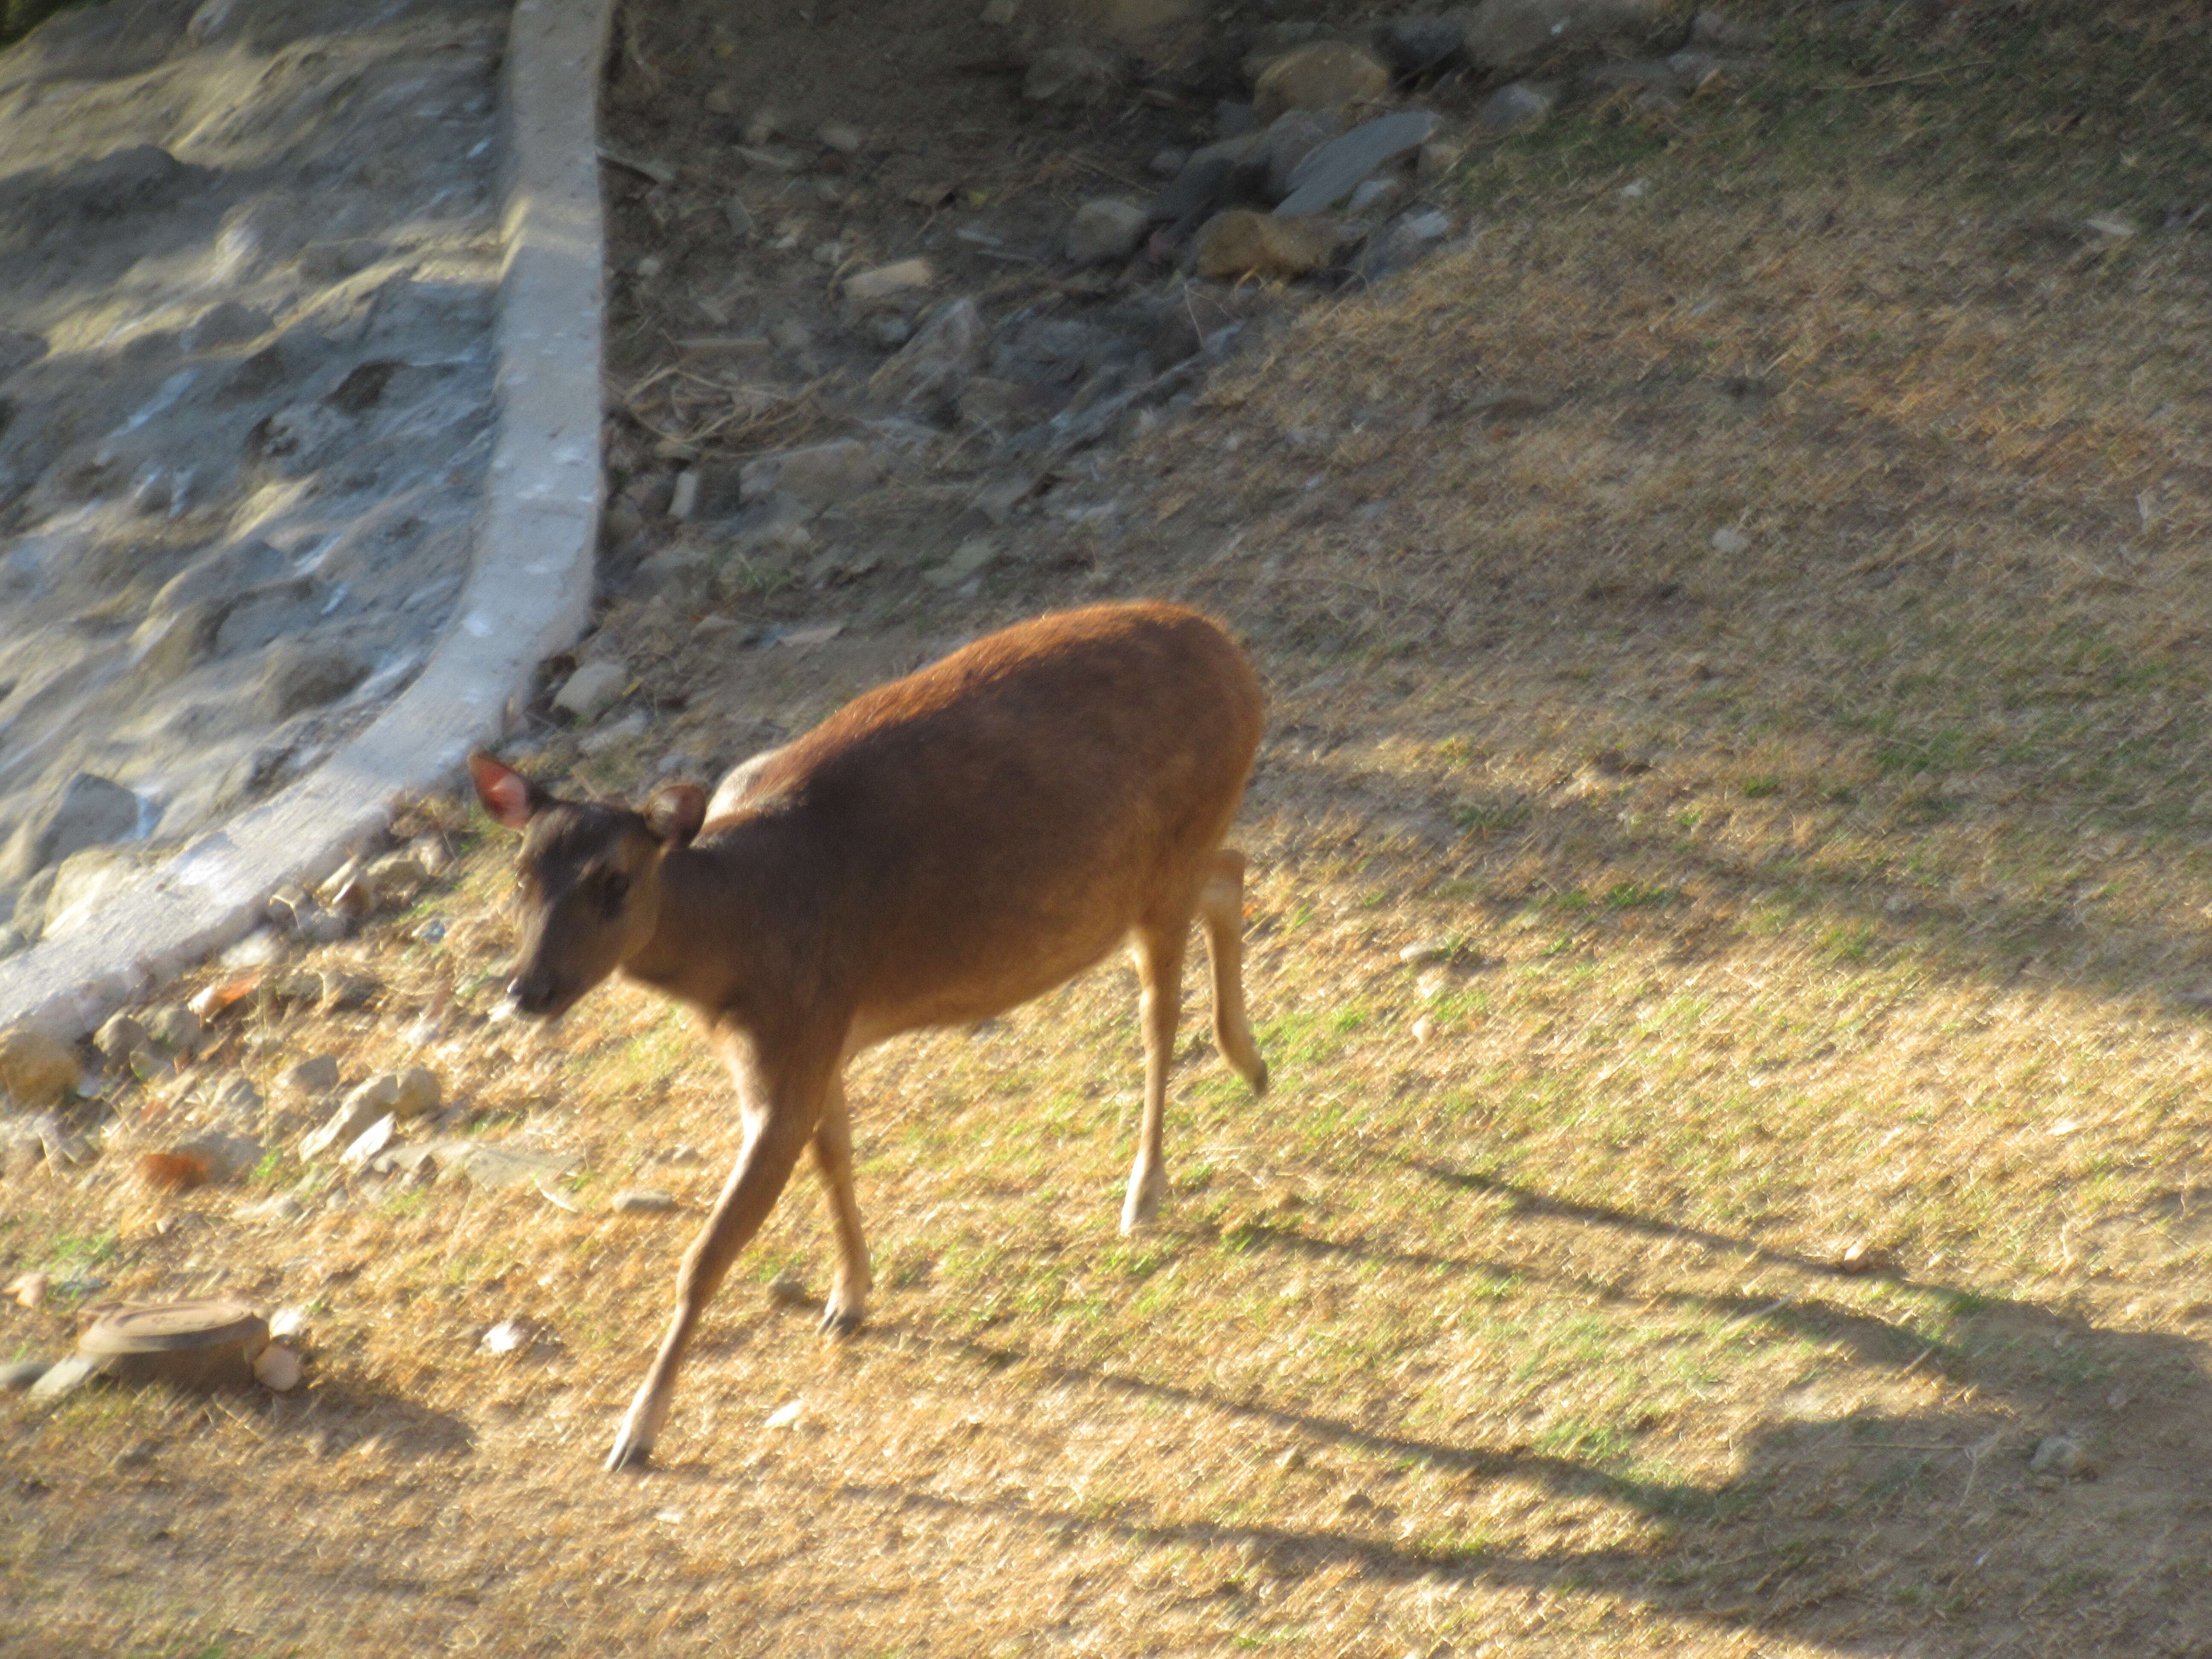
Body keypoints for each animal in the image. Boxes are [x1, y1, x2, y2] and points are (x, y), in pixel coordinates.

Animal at [471, 606, 1265, 1477]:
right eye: (520, 875)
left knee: (1161, 1007)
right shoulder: (817, 1038)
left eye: (615, 880)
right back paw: (1251, 1063)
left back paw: (1146, 1188)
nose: (528, 989)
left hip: (1172, 850)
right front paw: (848, 1298)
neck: (734, 947)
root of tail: (1233, 655)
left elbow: (707, 1253)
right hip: (1163, 870)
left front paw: (635, 1433)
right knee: (1230, 871)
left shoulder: (793, 1034)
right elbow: (836, 1157)